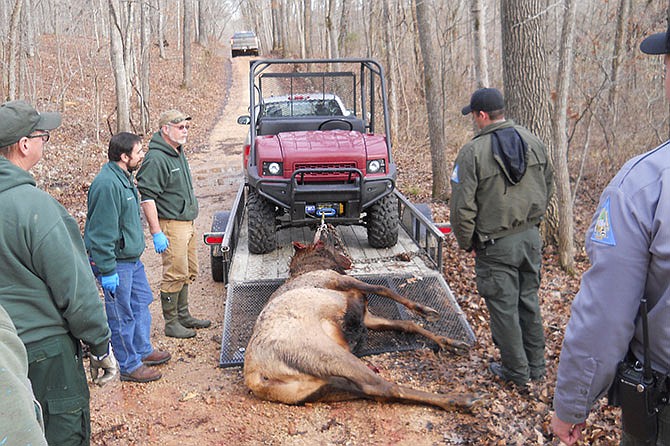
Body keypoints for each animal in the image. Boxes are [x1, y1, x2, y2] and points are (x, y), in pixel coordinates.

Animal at [244, 233, 480, 412]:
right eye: (321, 242)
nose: (329, 230)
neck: (315, 266)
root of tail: (257, 377)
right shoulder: (342, 281)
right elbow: (383, 289)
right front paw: (424, 310)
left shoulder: (366, 315)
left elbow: (408, 325)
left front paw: (450, 342)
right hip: (328, 354)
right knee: (387, 386)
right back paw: (459, 400)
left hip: (322, 387)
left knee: (376, 390)